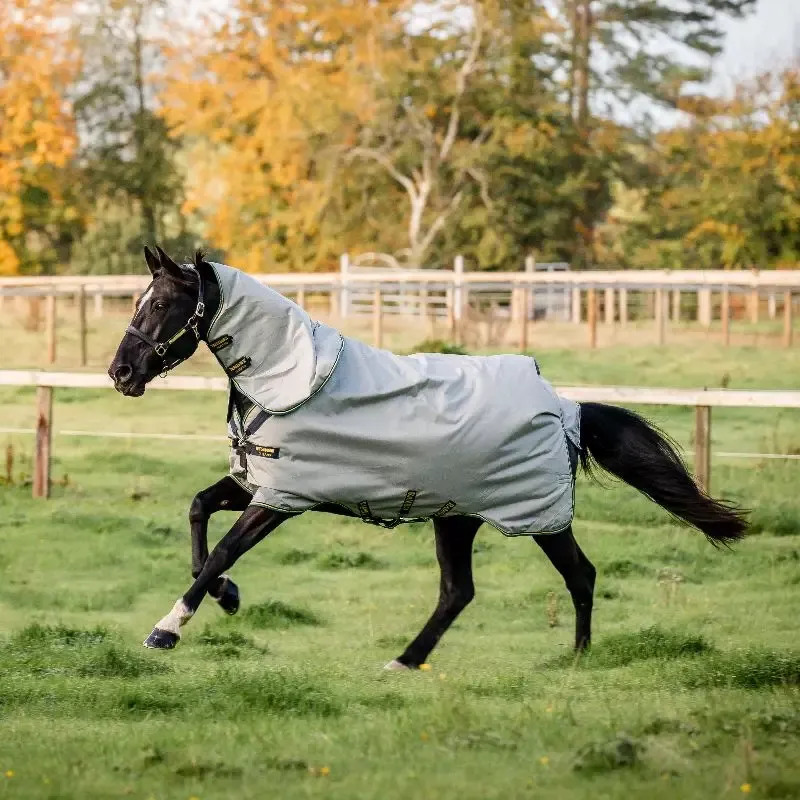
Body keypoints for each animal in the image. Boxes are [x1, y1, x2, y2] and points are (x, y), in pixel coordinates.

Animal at [108, 246, 747, 669]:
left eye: (160, 303)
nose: (121, 373)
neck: (286, 383)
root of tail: (568, 408)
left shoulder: (284, 498)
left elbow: (221, 550)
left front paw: (166, 630)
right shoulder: (259, 483)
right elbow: (198, 515)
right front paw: (229, 597)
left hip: (536, 517)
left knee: (580, 574)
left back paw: (576, 658)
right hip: (456, 518)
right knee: (458, 592)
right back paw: (405, 661)